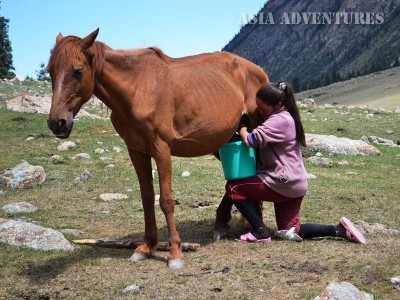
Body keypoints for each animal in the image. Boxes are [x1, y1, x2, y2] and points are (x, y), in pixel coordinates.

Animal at [47, 27, 268, 268]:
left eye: (77, 71)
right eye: (50, 71)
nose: (57, 123)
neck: (137, 90)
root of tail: (257, 70)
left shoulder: (161, 150)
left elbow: (166, 201)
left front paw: (175, 253)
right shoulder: (136, 151)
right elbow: (147, 197)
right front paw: (146, 247)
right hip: (224, 141)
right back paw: (224, 223)